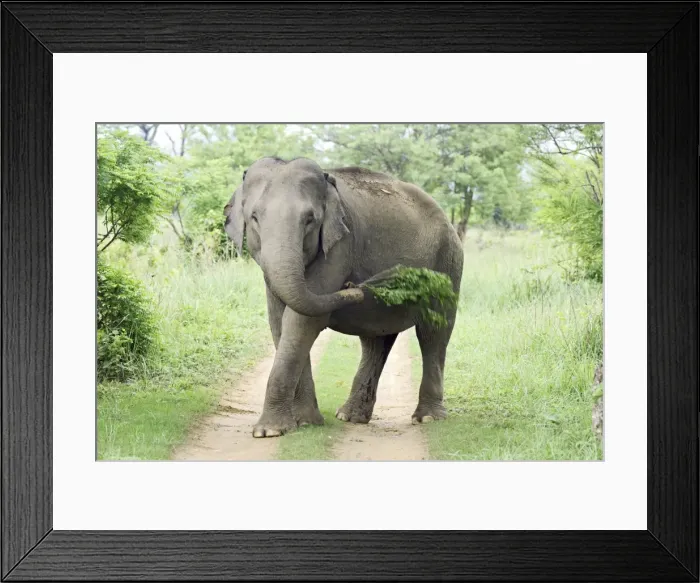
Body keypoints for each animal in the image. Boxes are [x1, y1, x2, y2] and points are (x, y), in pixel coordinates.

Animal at [224, 156, 463, 438]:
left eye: (310, 220)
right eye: (254, 218)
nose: (353, 283)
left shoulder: (340, 245)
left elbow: (302, 320)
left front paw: (270, 431)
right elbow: (279, 321)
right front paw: (306, 423)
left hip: (448, 262)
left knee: (433, 333)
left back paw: (427, 418)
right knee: (375, 342)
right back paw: (350, 416)